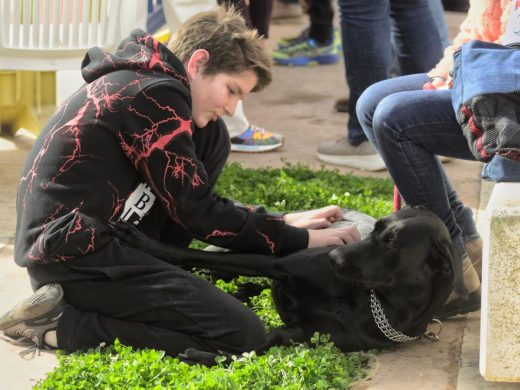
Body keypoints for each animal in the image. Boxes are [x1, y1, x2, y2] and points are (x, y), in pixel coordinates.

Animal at [107, 207, 466, 362]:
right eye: (376, 228)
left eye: (391, 242)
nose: (333, 256)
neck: (368, 302)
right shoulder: (277, 264)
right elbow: (184, 252)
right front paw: (146, 246)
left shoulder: (296, 334)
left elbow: (249, 351)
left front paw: (200, 354)